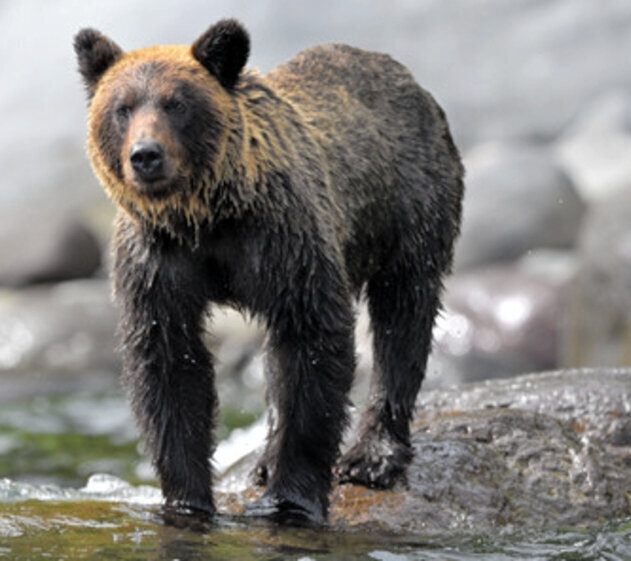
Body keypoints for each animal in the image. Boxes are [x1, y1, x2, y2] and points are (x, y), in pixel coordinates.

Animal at [75, 17, 464, 524]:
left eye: (176, 103)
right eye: (122, 108)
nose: (145, 155)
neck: (207, 219)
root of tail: (406, 77)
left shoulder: (284, 240)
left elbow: (312, 346)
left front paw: (292, 498)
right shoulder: (158, 262)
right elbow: (170, 367)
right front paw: (187, 500)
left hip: (407, 208)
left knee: (403, 317)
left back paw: (372, 455)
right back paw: (262, 460)